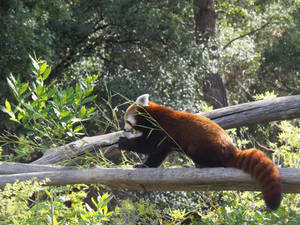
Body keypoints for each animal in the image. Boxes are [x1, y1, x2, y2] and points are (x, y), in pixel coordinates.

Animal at [118, 94, 282, 210]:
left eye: (126, 120)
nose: (124, 129)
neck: (151, 116)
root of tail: (231, 150)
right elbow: (158, 154)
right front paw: (144, 165)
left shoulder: (161, 129)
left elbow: (150, 146)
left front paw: (124, 142)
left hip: (202, 146)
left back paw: (204, 165)